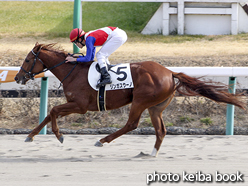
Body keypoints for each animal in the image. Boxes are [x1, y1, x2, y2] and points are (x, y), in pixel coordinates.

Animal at [14, 43, 245, 157]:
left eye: (27, 59)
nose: (17, 77)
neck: (72, 72)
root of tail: (170, 72)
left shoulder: (80, 106)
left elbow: (53, 111)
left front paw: (59, 135)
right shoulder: (75, 105)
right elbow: (48, 113)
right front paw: (30, 136)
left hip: (141, 101)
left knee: (131, 124)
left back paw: (102, 140)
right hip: (156, 107)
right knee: (161, 130)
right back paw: (151, 154)